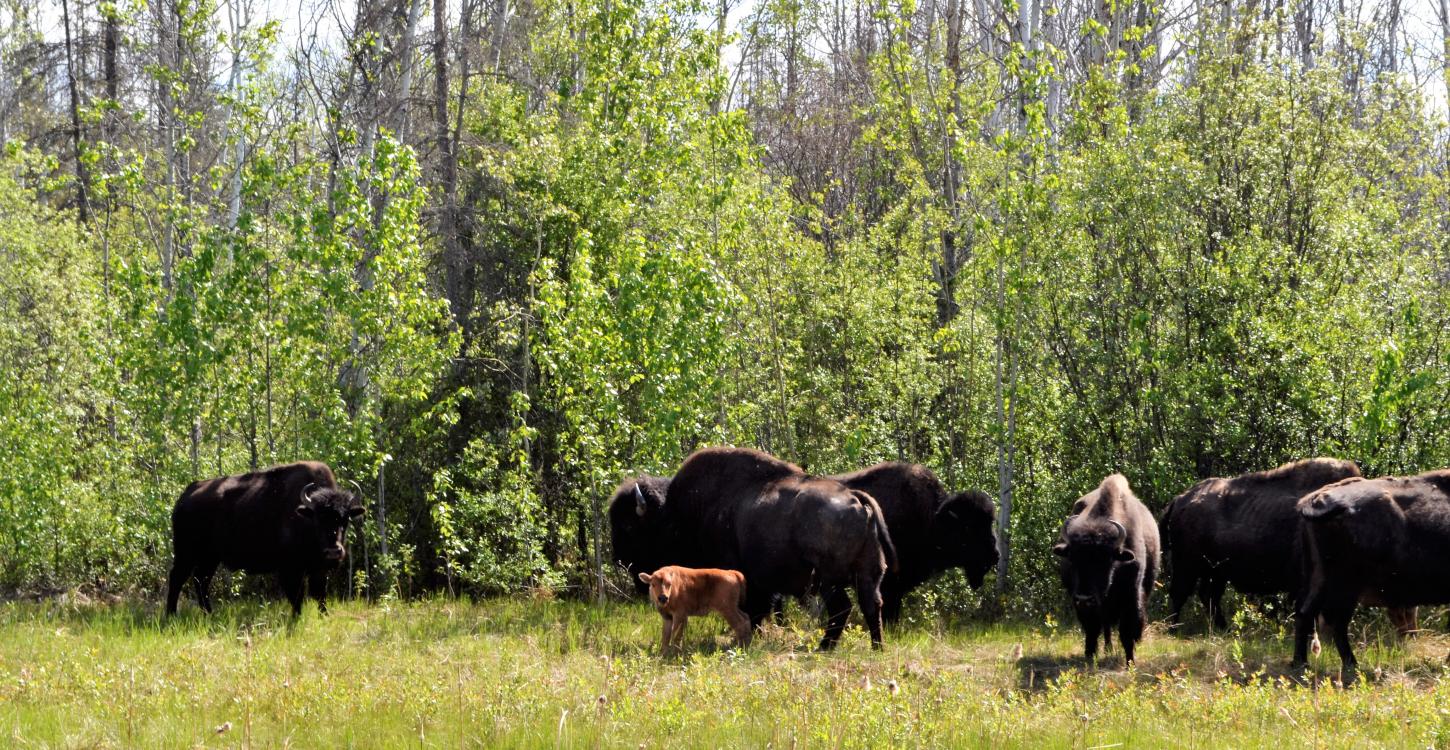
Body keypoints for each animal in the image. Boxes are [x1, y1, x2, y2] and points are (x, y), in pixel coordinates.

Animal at [166, 461, 364, 617]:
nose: (333, 551)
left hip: (209, 558)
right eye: (317, 518)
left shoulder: (318, 568)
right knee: (177, 578)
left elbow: (320, 594)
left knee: (201, 581)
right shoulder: (290, 568)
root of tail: (186, 495)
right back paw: (171, 615)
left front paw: (324, 616)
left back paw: (209, 613)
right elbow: (297, 596)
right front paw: (296, 618)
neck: (303, 514)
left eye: (345, 519)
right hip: (186, 554)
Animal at [611, 447, 898, 649]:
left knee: (842, 608)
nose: (618, 559)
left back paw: (824, 647)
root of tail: (855, 498)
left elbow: (754, 611)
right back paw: (876, 647)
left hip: (829, 581)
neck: (679, 513)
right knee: (872, 604)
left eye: (628, 527)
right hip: (868, 573)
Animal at [1055, 474, 1160, 664]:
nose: (1084, 598)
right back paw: (1107, 648)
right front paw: (1090, 656)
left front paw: (1130, 662)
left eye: (1106, 560)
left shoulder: (1131, 595)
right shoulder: (1081, 603)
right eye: (1072, 559)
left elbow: (1127, 631)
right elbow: (1092, 630)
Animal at [1292, 471, 1450, 678]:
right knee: (1331, 621)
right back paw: (1336, 665)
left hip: (1322, 581)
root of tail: (1315, 499)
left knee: (1308, 614)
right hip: (1344, 586)